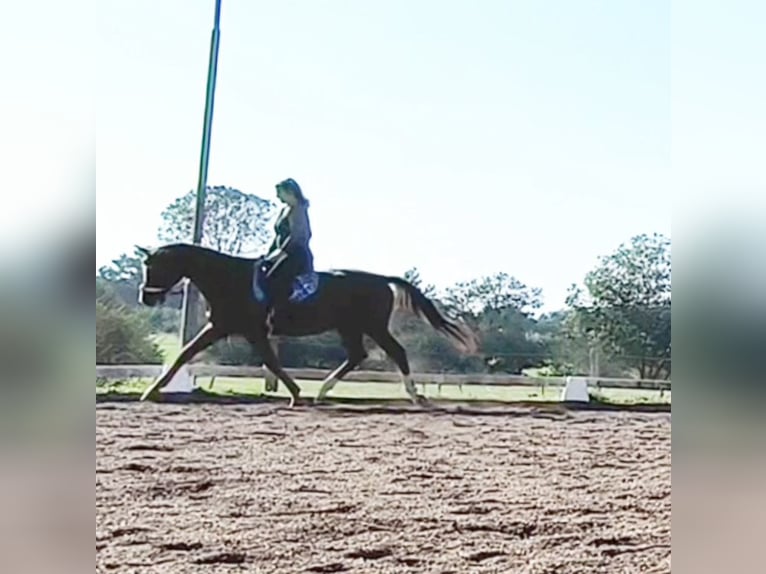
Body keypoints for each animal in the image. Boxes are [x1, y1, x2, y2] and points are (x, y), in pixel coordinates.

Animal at [135, 245, 476, 408]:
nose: (145, 298)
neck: (229, 278)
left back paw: (414, 395)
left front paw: (296, 394)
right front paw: (152, 390)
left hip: (372, 326)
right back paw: (323, 392)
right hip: (349, 327)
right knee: (357, 356)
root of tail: (381, 279)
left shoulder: (250, 331)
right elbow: (183, 354)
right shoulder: (221, 327)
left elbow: (271, 362)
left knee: (397, 352)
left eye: (155, 267)